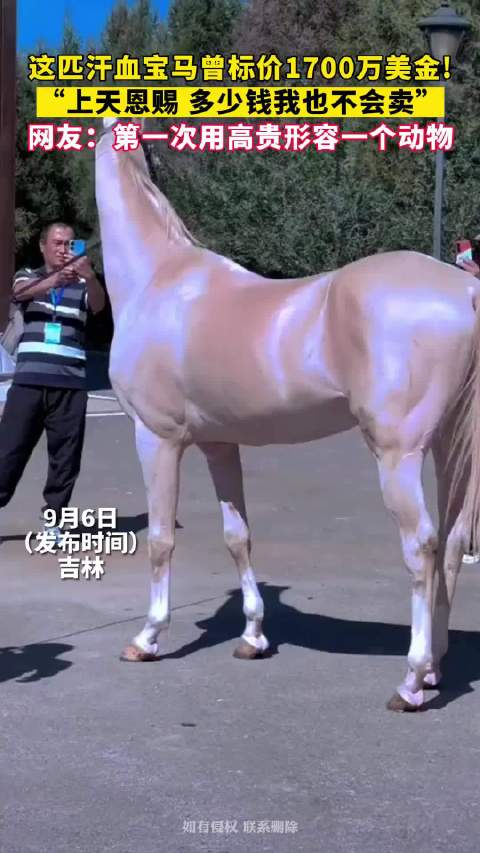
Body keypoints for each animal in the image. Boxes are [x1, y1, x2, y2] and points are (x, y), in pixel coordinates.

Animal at [95, 118, 480, 711]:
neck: (158, 277)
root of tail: (464, 286)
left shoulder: (156, 438)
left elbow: (160, 539)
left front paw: (147, 638)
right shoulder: (219, 443)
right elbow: (238, 536)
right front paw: (253, 637)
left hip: (399, 454)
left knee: (421, 548)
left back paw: (412, 682)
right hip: (445, 446)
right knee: (454, 544)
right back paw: (436, 669)